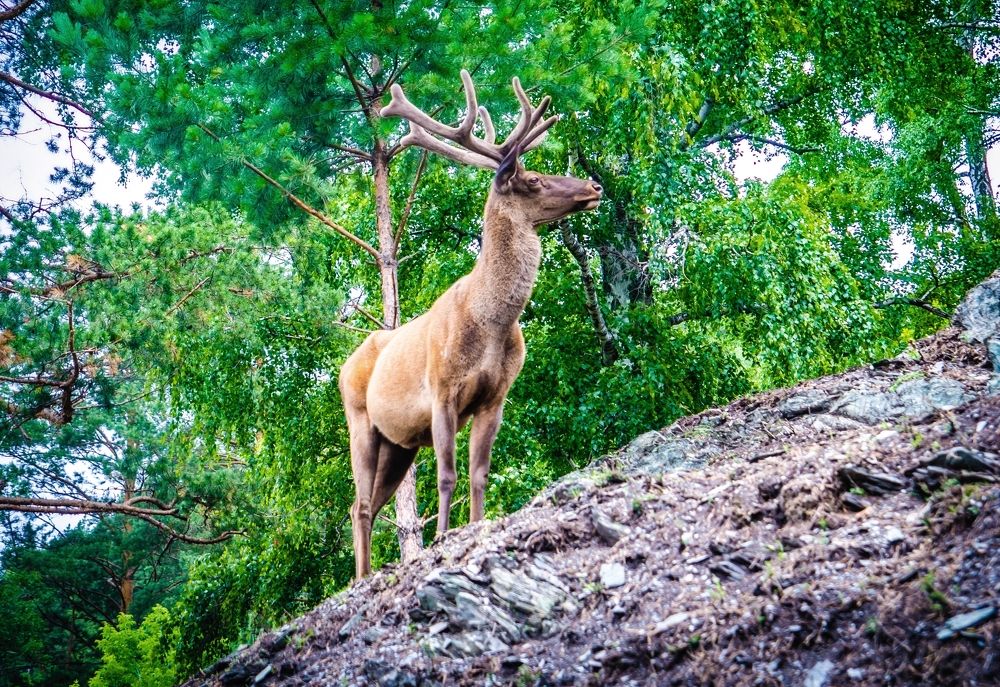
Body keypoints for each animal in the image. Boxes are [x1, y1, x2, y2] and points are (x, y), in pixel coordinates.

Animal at [339, 70, 602, 578]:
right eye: (534, 179)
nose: (594, 187)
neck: (491, 323)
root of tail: (343, 367)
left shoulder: (496, 396)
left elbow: (480, 472)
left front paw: (476, 525)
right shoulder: (442, 391)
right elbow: (447, 474)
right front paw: (443, 535)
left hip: (399, 445)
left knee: (374, 503)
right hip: (360, 420)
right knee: (358, 504)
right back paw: (359, 578)